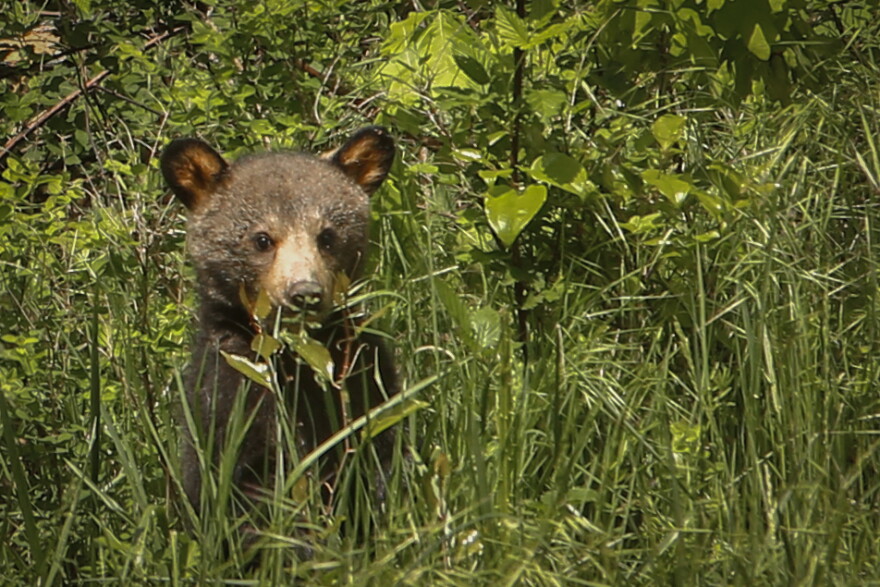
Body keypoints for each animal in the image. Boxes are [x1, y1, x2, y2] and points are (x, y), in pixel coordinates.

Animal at [160, 127, 399, 515]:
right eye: (262, 238)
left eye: (327, 235)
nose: (304, 293)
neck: (295, 356)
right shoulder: (231, 384)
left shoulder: (364, 371)